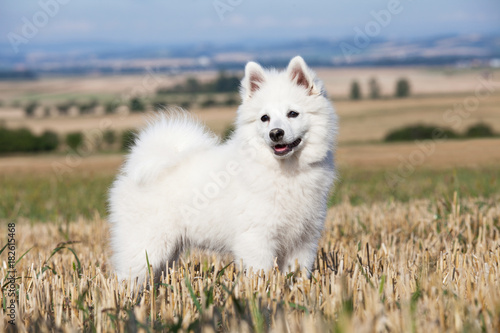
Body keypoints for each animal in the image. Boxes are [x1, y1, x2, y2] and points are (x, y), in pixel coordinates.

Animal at [108, 55, 336, 282]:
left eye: (293, 114)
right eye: (265, 118)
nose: (276, 133)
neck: (285, 170)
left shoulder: (303, 241)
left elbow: (297, 275)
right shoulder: (256, 238)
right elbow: (260, 274)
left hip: (167, 251)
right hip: (145, 245)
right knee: (126, 278)